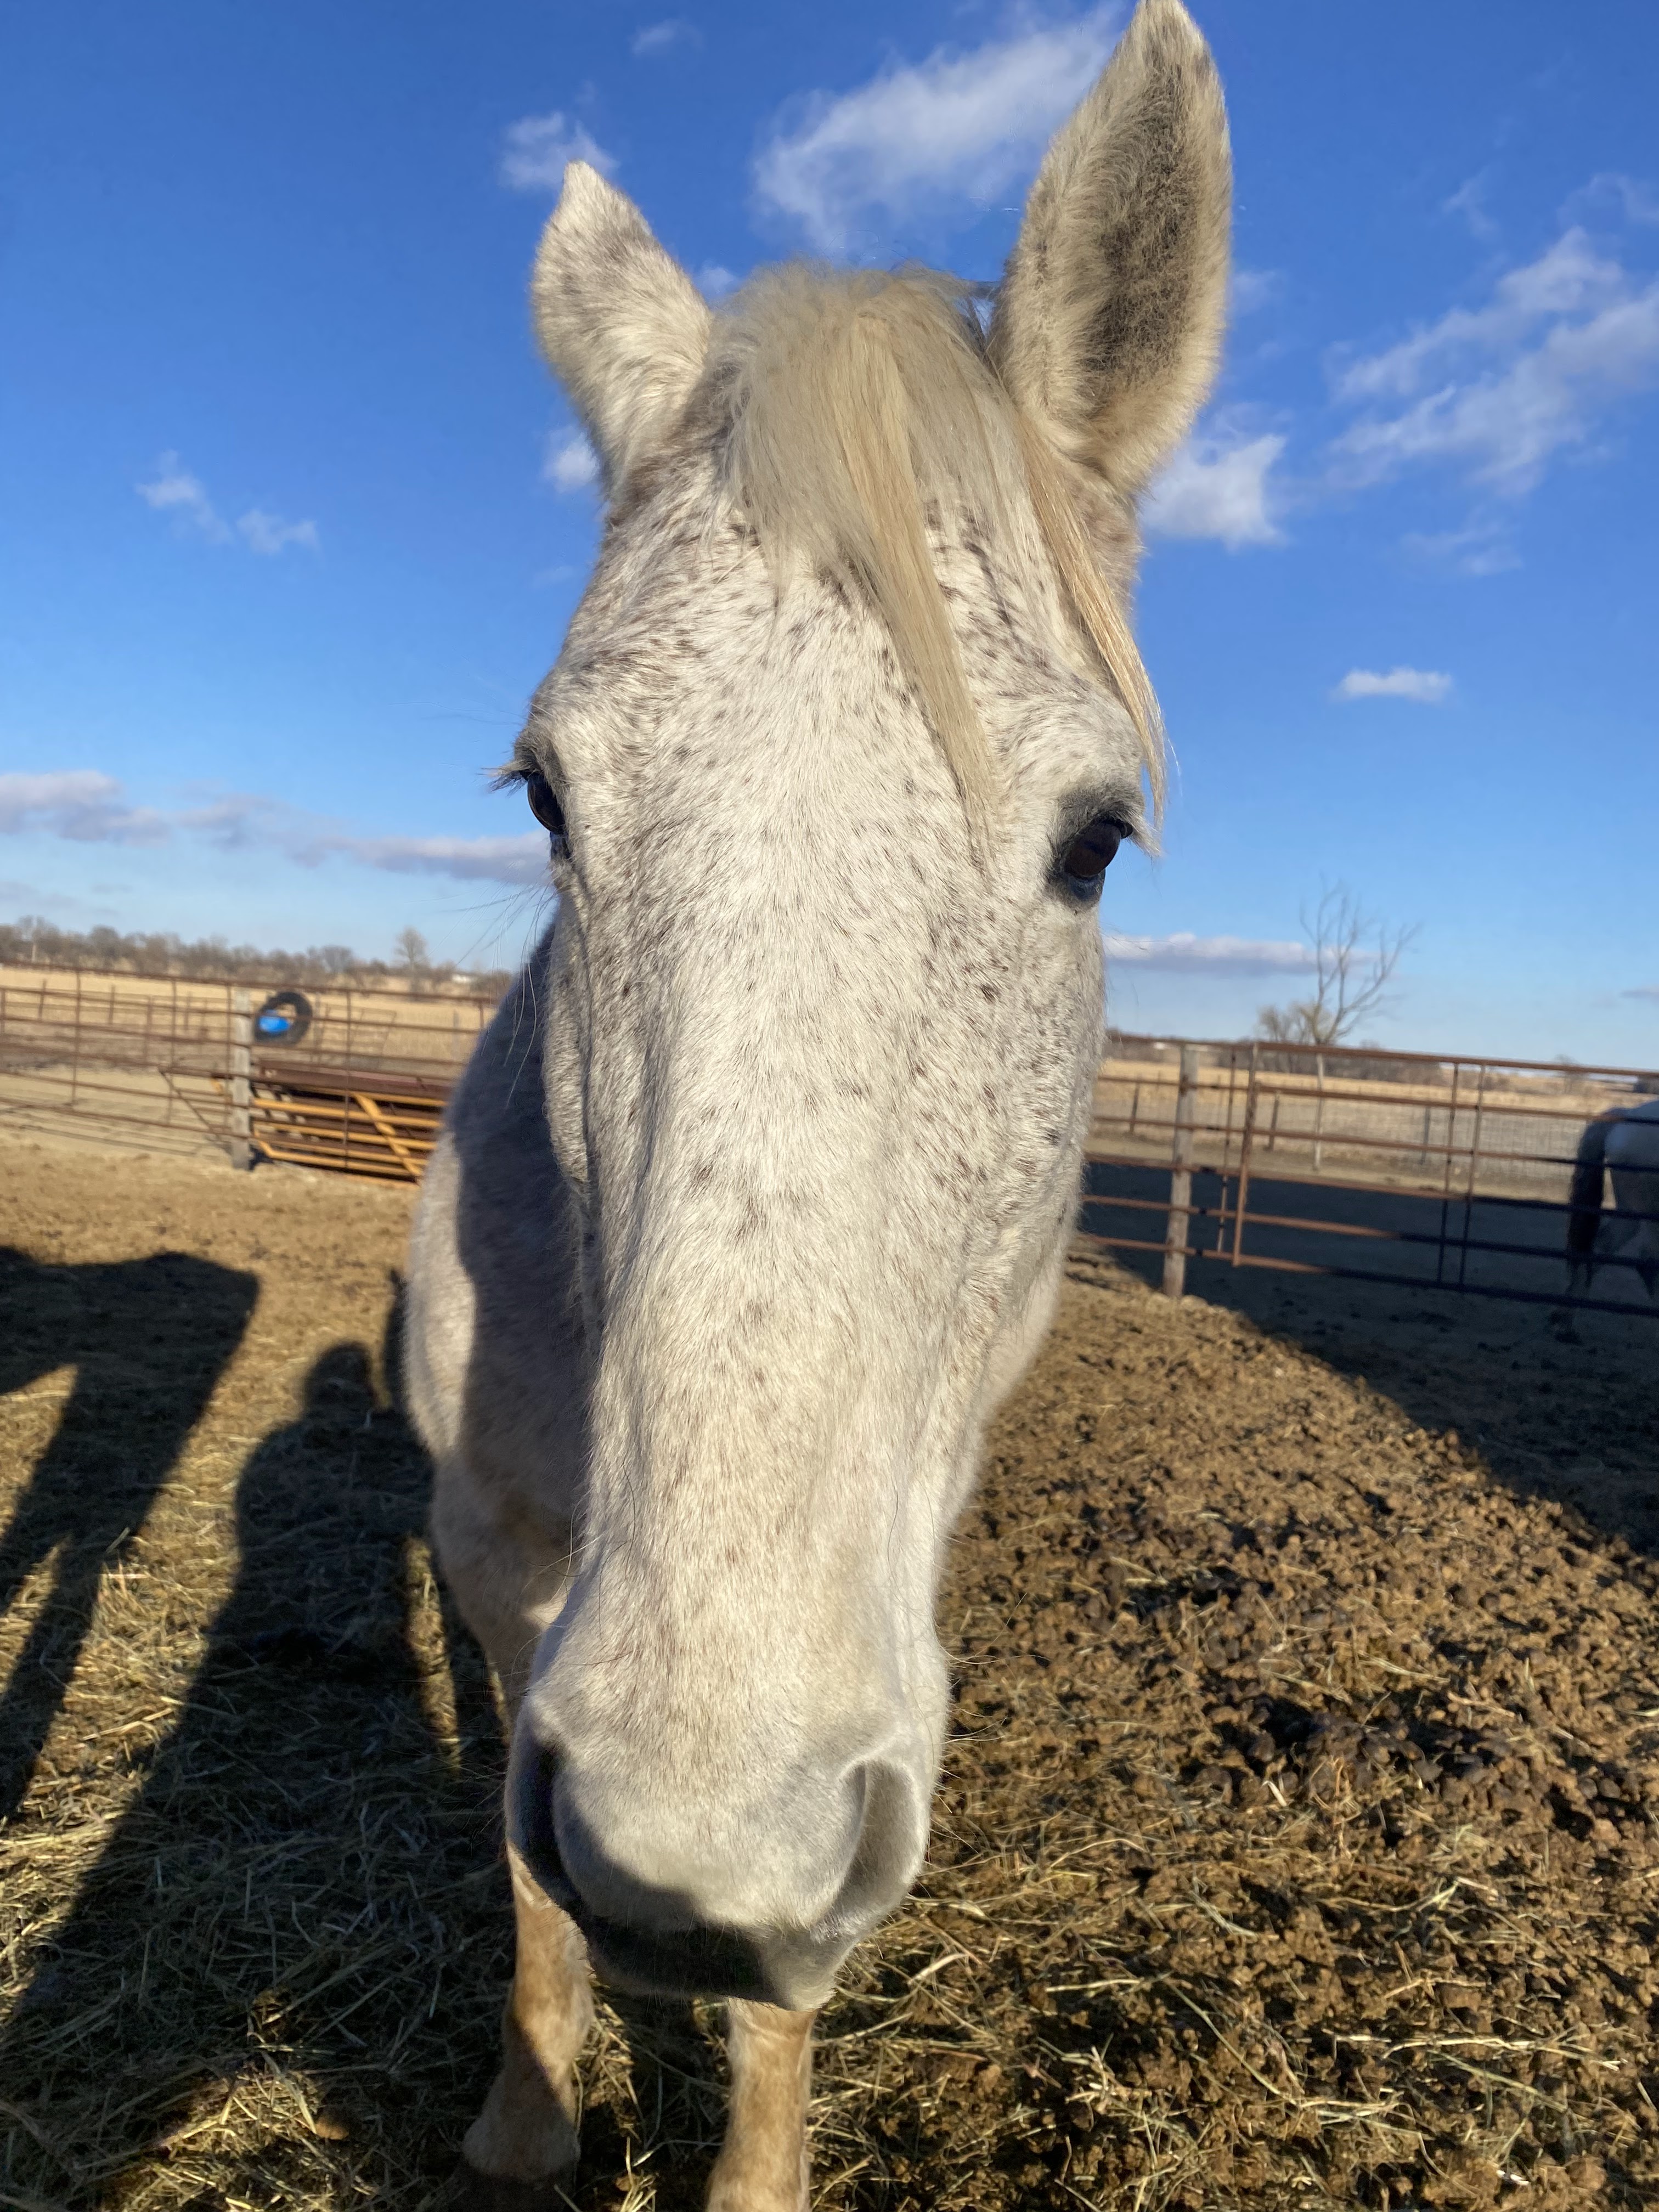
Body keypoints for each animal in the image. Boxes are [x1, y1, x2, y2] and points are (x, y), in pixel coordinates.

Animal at [403, 5, 1231, 2203]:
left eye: (1095, 840)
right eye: (548, 800)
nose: (692, 1857)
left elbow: (776, 1985)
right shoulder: (503, 1565)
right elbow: (529, 1897)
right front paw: (526, 2116)